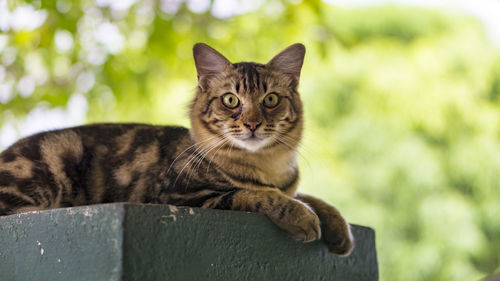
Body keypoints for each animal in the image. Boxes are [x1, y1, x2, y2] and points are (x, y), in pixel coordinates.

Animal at [0, 42, 356, 255]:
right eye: (231, 100)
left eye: (270, 99)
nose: (253, 123)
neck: (268, 165)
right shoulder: (185, 196)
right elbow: (259, 195)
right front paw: (302, 218)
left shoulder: (288, 185)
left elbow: (314, 198)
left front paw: (340, 231)